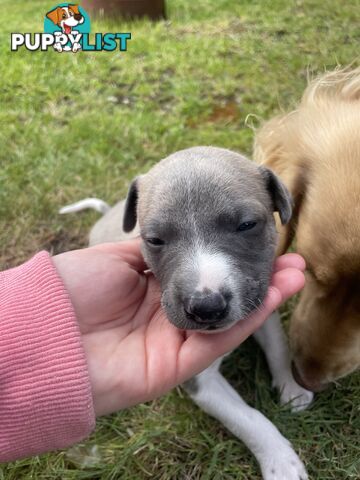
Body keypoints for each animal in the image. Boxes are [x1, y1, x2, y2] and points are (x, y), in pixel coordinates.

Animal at [60, 146, 310, 480]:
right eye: (154, 240)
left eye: (246, 225)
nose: (206, 307)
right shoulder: (202, 385)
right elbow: (249, 419)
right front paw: (281, 462)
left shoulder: (261, 304)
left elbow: (278, 348)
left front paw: (291, 388)